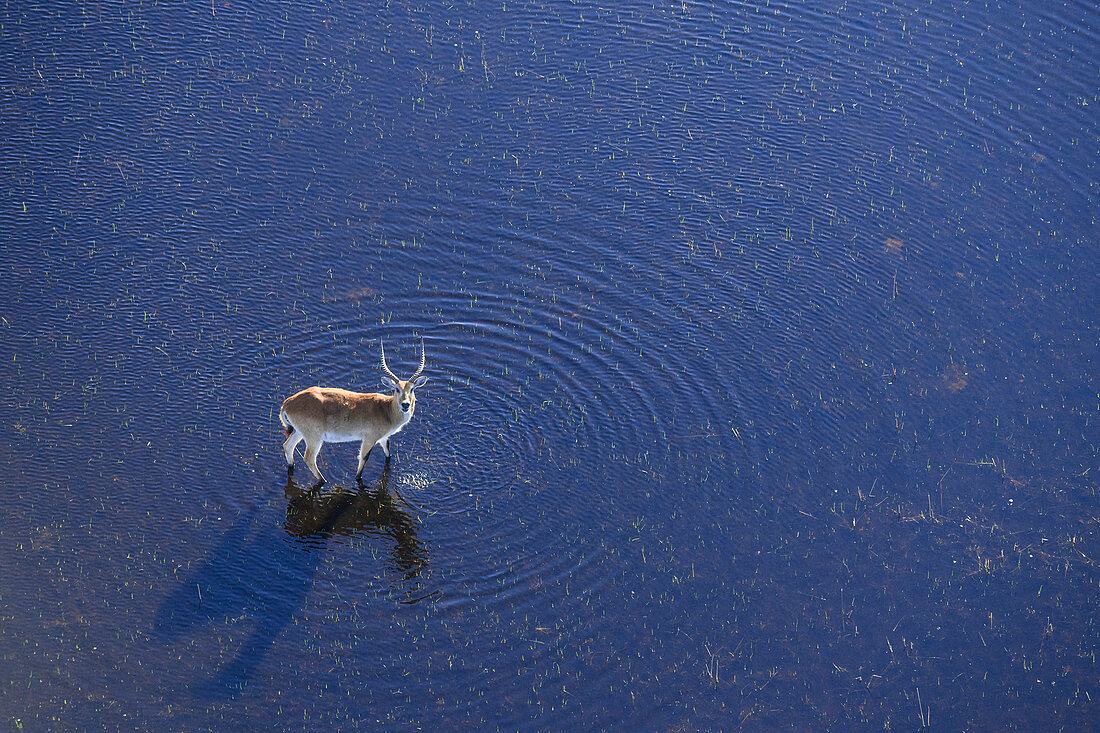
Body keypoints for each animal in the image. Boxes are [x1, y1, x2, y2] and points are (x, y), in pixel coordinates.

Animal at [279, 338, 424, 482]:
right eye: (397, 389)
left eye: (412, 389)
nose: (405, 405)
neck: (386, 410)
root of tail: (287, 403)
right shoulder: (369, 438)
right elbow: (363, 460)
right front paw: (358, 478)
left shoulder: (384, 438)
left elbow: (388, 453)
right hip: (314, 437)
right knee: (308, 458)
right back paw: (323, 480)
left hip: (298, 432)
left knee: (287, 446)